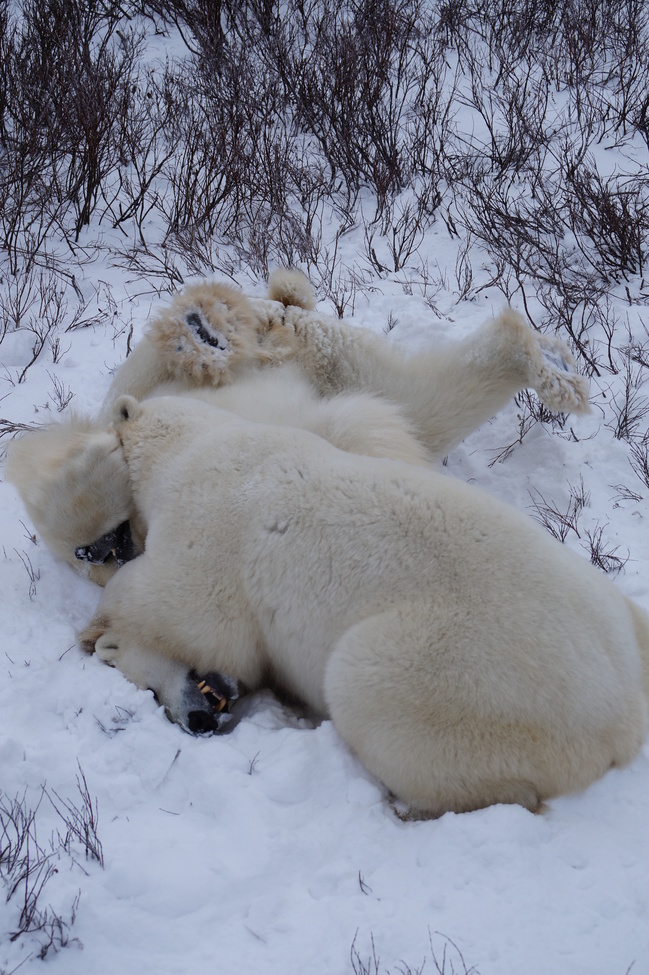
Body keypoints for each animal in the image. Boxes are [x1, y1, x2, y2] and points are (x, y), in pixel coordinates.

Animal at [6, 269, 590, 584]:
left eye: (108, 539)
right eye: (94, 551)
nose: (117, 555)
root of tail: (280, 310)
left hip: (289, 341)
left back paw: (205, 331)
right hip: (333, 356)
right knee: (425, 400)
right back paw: (549, 363)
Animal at [78, 392, 649, 817]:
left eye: (145, 689)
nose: (196, 721)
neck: (187, 449)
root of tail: (623, 721)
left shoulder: (212, 528)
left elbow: (190, 611)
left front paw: (103, 629)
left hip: (460, 677)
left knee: (369, 689)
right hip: (616, 608)